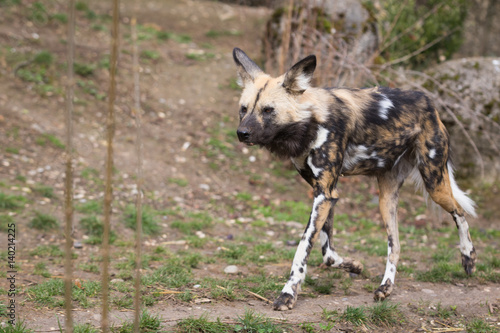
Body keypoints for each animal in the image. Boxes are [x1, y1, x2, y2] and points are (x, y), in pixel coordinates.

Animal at [232, 48, 478, 310]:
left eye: (268, 110)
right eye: (243, 109)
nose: (242, 133)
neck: (310, 122)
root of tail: (429, 102)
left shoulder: (324, 194)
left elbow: (303, 247)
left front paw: (288, 293)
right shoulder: (327, 193)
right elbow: (328, 253)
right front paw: (354, 265)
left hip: (434, 182)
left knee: (459, 213)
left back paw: (468, 258)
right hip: (386, 199)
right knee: (396, 245)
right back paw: (385, 287)